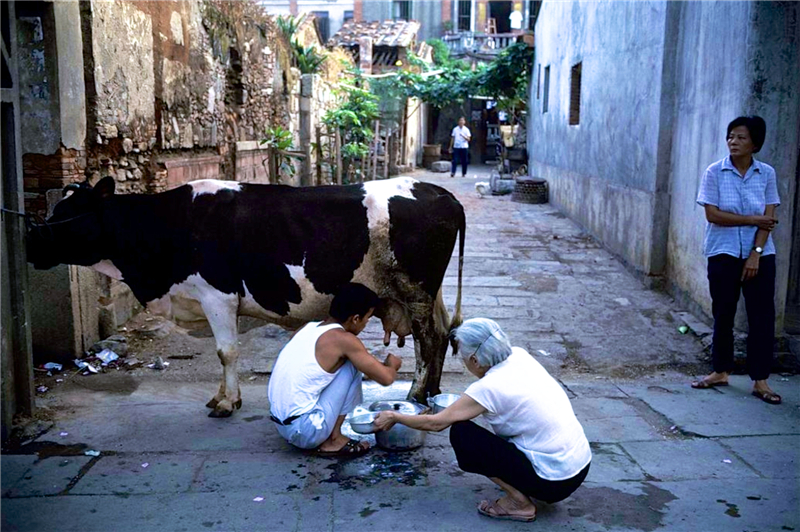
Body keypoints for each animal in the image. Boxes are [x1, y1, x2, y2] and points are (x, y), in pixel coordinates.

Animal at [26, 175, 462, 416]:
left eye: (67, 215)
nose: (31, 243)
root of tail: (438, 191)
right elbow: (224, 353)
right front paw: (221, 396)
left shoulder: (216, 295)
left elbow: (226, 352)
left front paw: (227, 403)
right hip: (429, 293)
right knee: (442, 334)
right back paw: (431, 392)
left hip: (416, 289)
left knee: (428, 339)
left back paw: (417, 393)